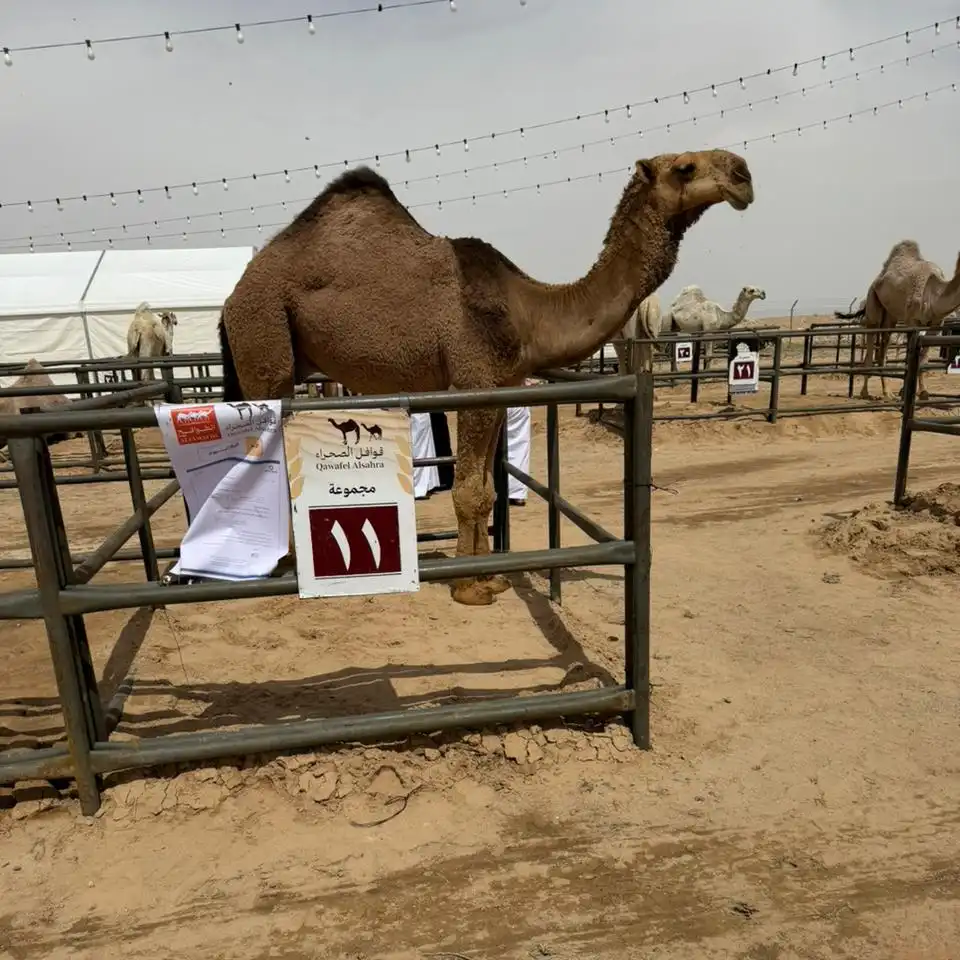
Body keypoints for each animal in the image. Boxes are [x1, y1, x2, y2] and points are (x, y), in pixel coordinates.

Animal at [218, 150, 755, 605]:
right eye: (685, 167)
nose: (744, 175)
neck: (529, 310)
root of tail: (233, 294)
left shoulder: (501, 386)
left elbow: (487, 489)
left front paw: (489, 575)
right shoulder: (473, 382)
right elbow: (470, 490)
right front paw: (468, 587)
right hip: (266, 340)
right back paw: (281, 567)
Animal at [834, 240, 960, 400]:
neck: (933, 294)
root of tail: (878, 278)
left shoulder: (936, 324)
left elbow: (923, 359)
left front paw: (923, 392)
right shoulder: (912, 321)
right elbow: (911, 357)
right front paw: (905, 391)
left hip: (890, 317)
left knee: (882, 352)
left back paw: (886, 392)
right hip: (872, 300)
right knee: (871, 347)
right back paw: (867, 393)